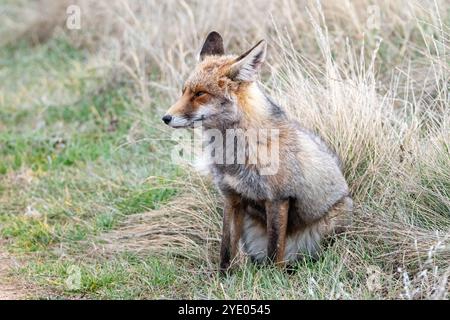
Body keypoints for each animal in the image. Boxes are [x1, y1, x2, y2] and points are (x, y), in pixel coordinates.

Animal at [163, 31, 354, 272]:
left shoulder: (278, 198)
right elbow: (226, 250)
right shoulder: (231, 197)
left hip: (334, 219)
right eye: (184, 92)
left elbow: (274, 251)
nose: (165, 118)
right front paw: (223, 278)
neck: (235, 153)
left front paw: (274, 278)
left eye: (200, 94)